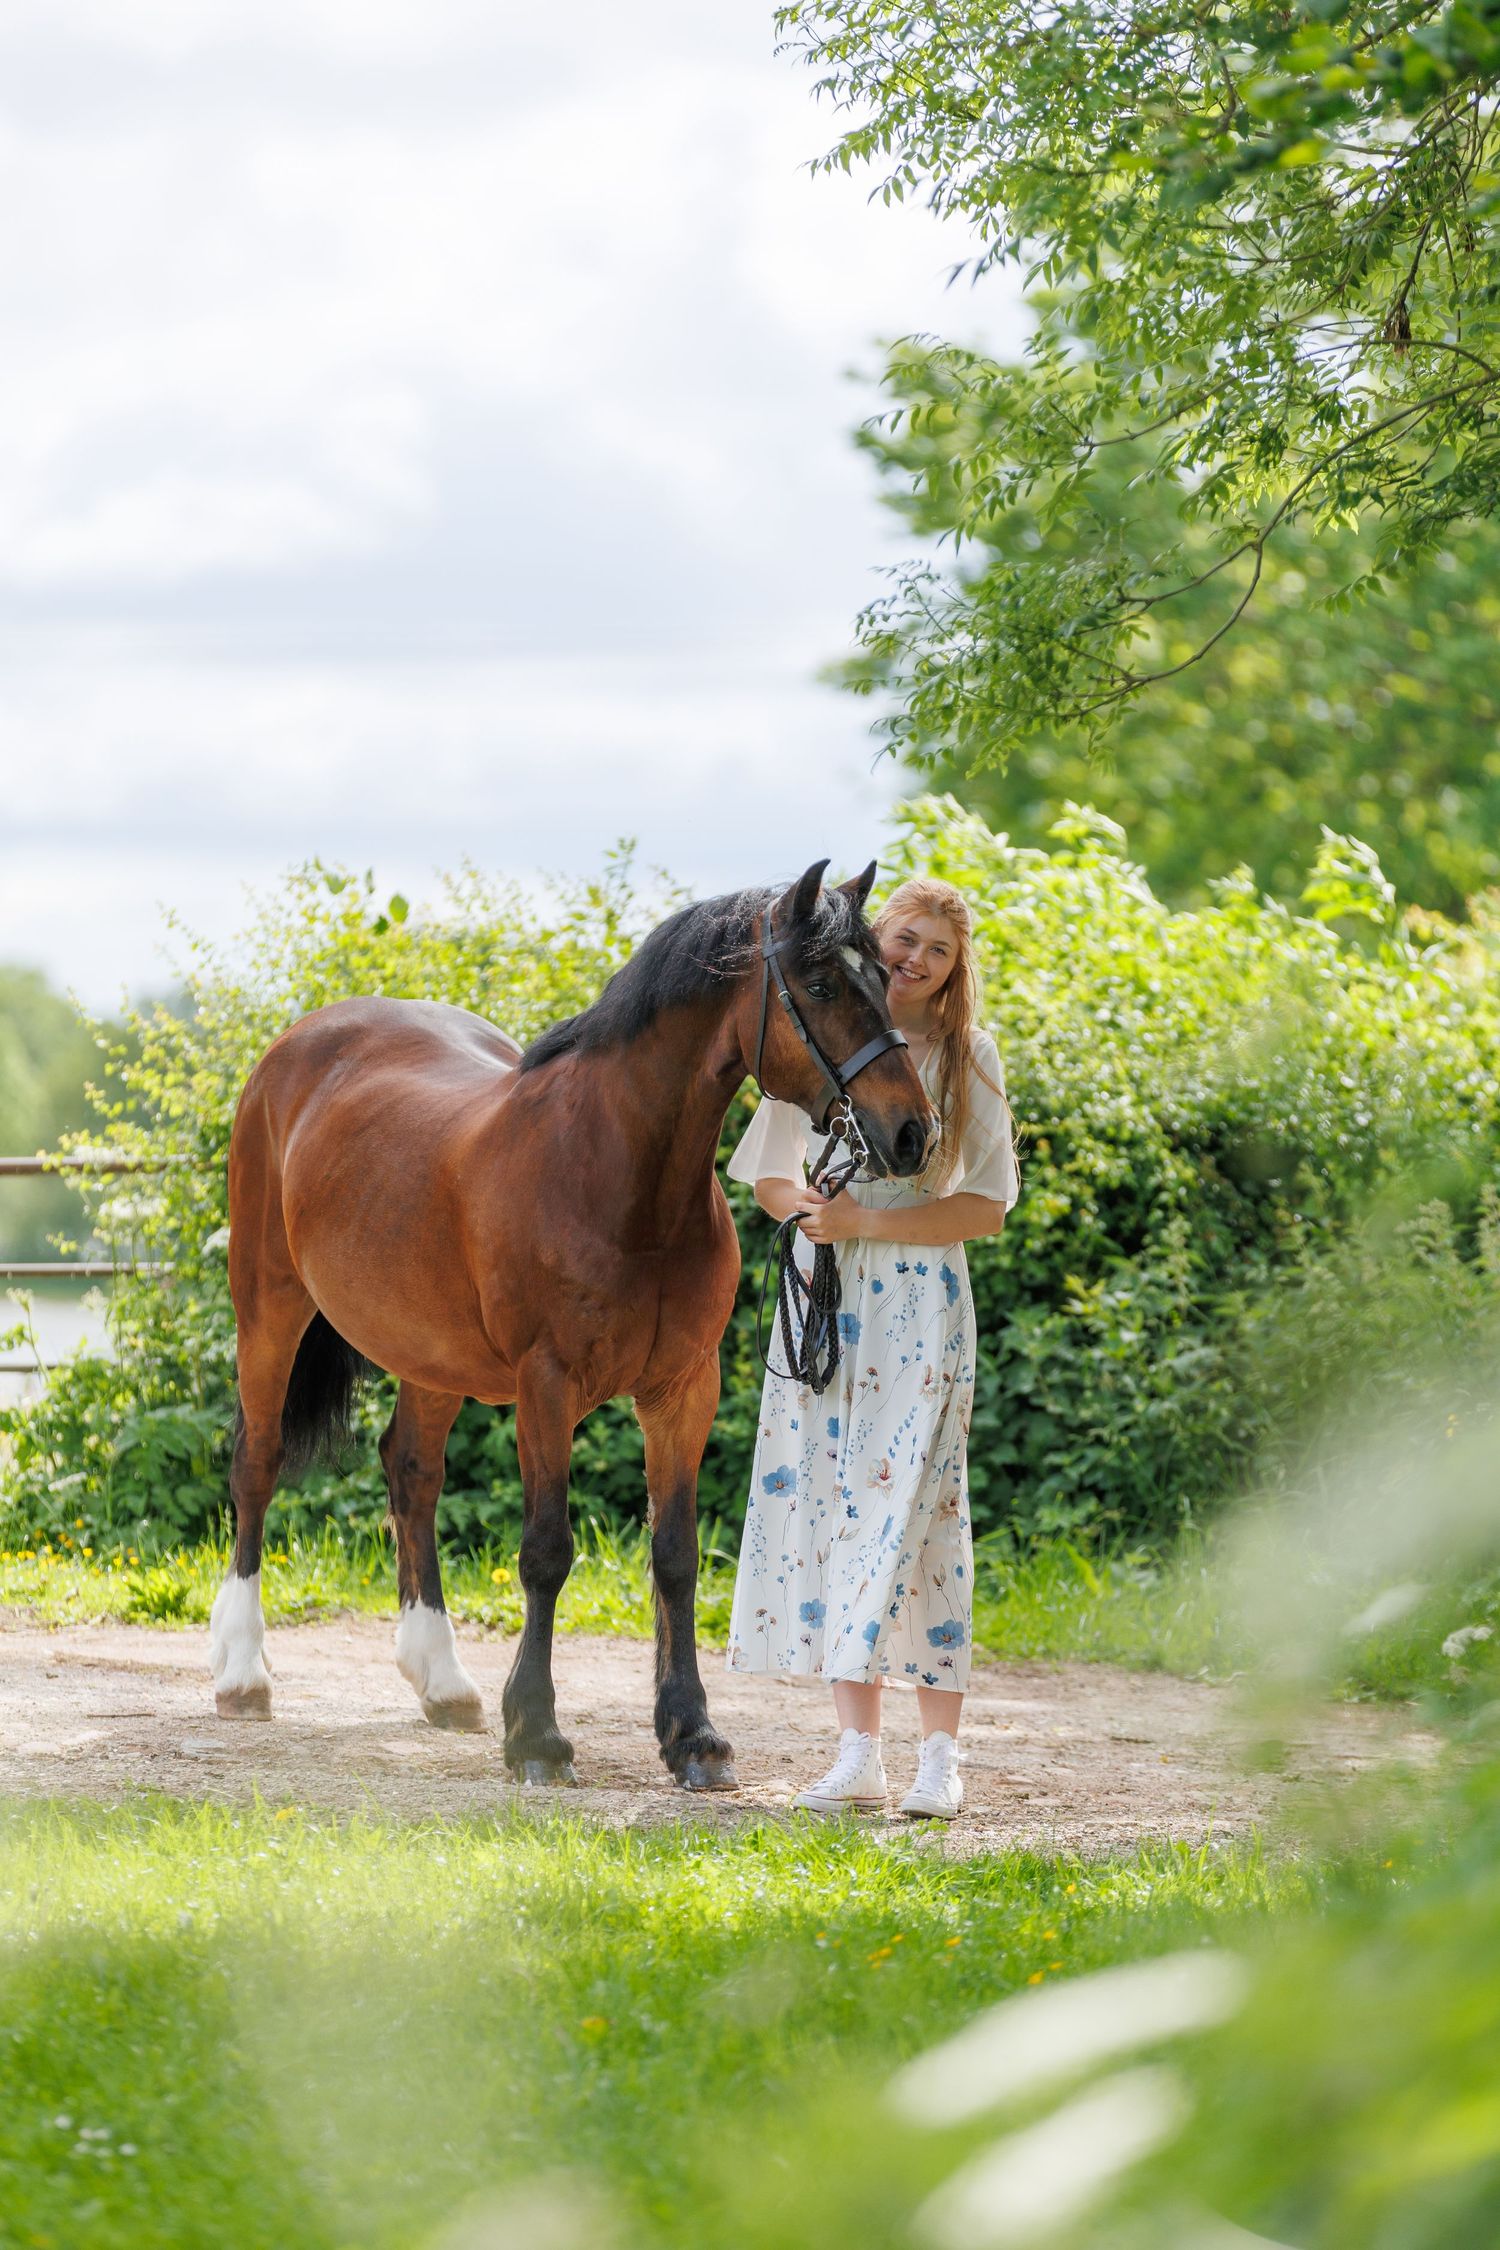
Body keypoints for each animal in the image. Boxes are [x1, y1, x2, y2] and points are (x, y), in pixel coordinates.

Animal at [208, 858, 936, 1787]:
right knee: (257, 1464)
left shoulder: (682, 1389)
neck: (621, 1176)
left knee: (411, 1472)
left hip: (430, 1352)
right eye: (819, 984)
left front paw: (692, 1735)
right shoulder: (546, 1386)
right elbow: (546, 1551)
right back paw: (241, 1673)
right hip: (268, 1307)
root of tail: (297, 1047)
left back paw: (442, 1682)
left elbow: (676, 1555)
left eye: (884, 976)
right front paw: (538, 1735)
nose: (912, 1132)